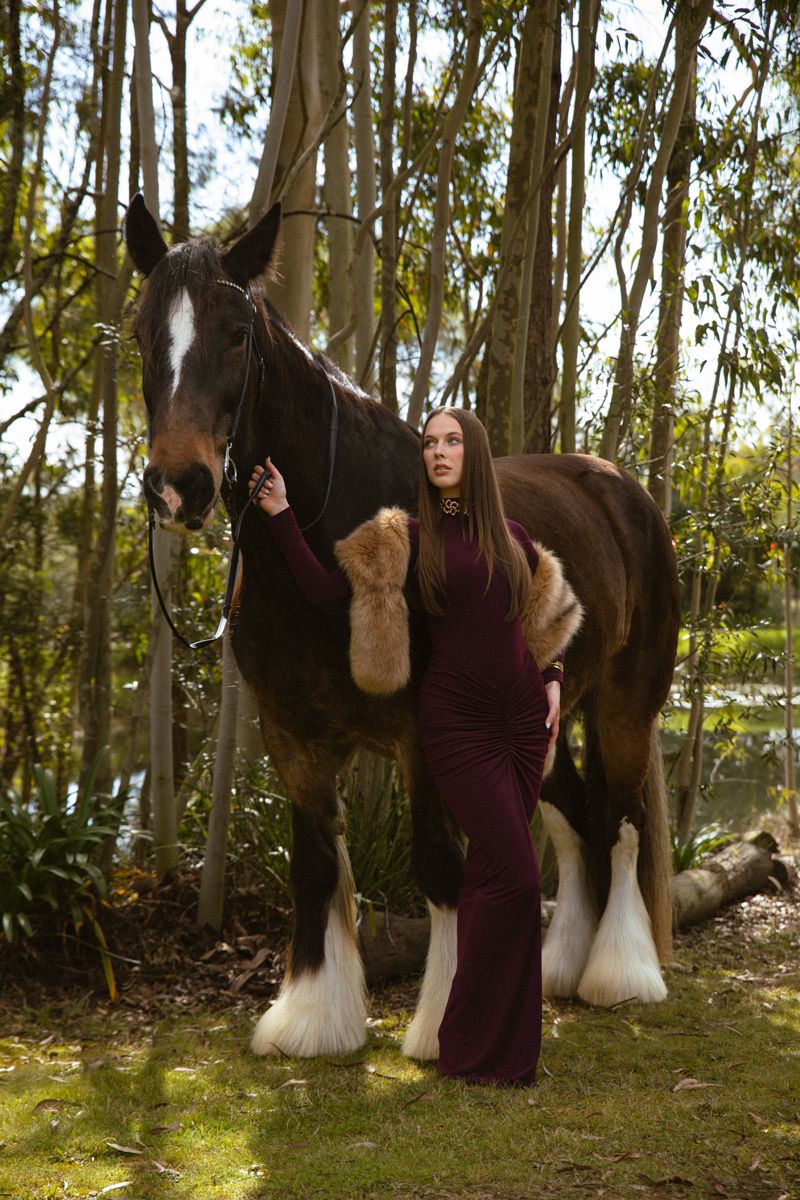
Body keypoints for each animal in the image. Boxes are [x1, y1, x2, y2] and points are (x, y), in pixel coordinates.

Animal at [124, 195, 680, 1058]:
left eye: (237, 332)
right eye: (143, 333)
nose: (179, 485)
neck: (325, 527)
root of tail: (624, 490)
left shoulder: (425, 736)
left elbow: (439, 868)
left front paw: (448, 1026)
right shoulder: (293, 738)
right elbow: (317, 867)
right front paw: (312, 1020)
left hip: (625, 706)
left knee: (620, 825)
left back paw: (619, 975)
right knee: (574, 822)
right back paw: (559, 969)